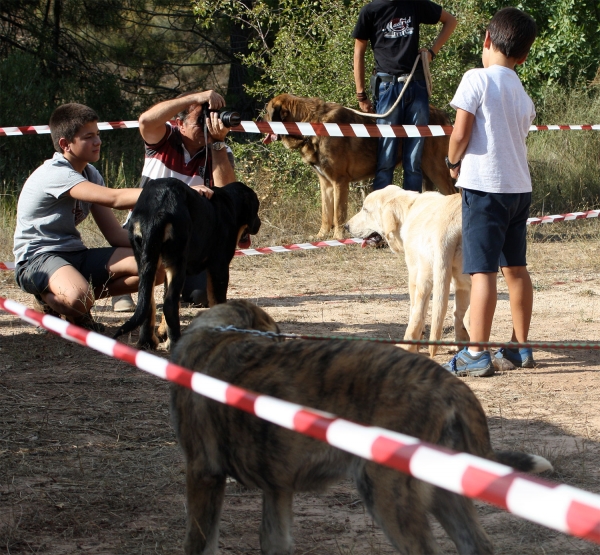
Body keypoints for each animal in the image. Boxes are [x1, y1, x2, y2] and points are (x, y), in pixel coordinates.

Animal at [113, 178, 258, 350]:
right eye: (256, 207)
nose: (258, 223)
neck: (230, 204)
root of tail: (159, 204)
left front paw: (163, 333)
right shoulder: (219, 267)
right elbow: (218, 300)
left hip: (146, 260)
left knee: (150, 303)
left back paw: (147, 342)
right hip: (178, 261)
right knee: (169, 304)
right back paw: (175, 341)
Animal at [171, 302, 552, 552]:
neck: (220, 336)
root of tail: (448, 384)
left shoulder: (203, 474)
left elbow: (197, 542)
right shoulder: (277, 489)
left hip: (385, 494)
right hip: (442, 493)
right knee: (478, 546)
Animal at [264, 94, 458, 241]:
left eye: (266, 113)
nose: (258, 119)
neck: (310, 123)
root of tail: (443, 114)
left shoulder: (339, 181)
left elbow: (338, 213)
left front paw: (338, 237)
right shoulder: (326, 184)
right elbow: (326, 213)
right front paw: (321, 235)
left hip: (436, 168)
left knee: (453, 192)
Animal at [346, 185, 468, 358]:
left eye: (365, 210)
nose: (346, 226)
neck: (408, 207)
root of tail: (448, 224)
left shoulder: (414, 270)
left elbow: (415, 309)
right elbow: (458, 312)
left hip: (425, 272)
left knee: (418, 310)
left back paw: (407, 346)